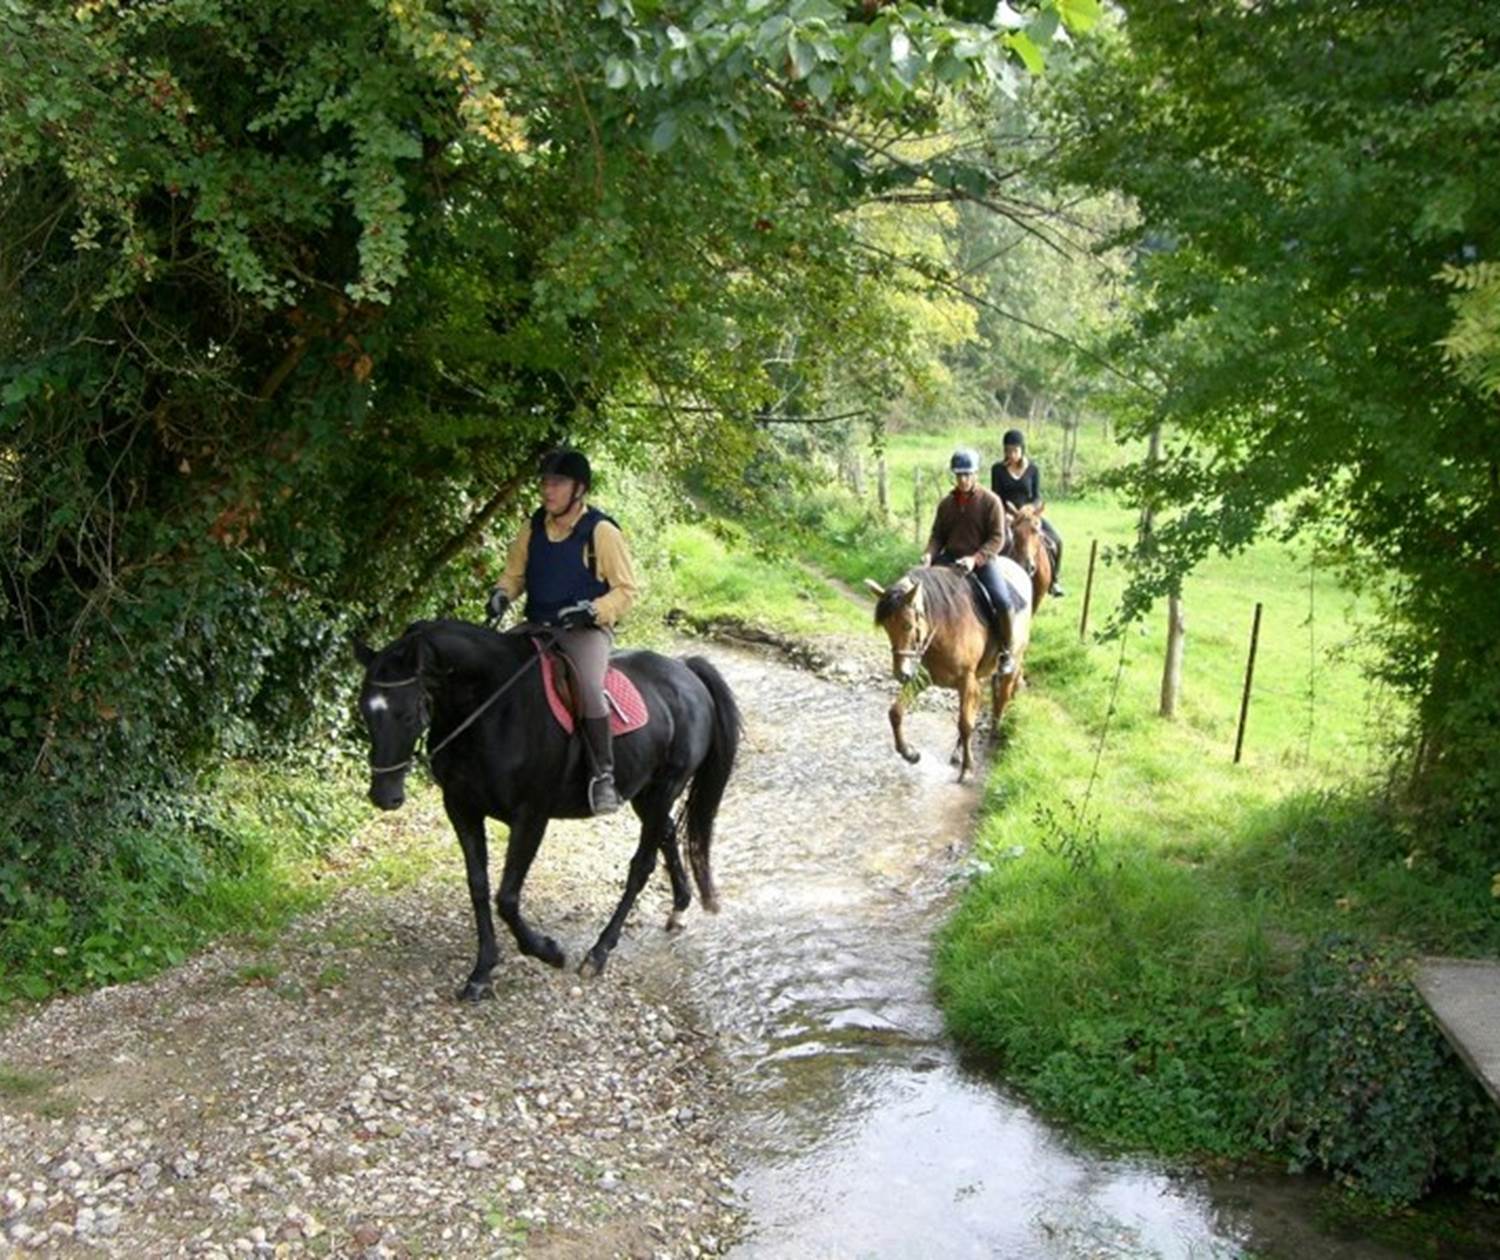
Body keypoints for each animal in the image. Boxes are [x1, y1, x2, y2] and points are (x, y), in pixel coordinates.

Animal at [352, 619, 740, 999]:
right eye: (364, 712)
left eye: (406, 714)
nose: (384, 796)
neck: (491, 706)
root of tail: (685, 671)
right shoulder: (462, 808)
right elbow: (478, 887)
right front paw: (481, 972)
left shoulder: (531, 817)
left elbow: (507, 898)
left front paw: (548, 952)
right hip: (645, 794)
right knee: (668, 834)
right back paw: (679, 908)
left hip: (664, 789)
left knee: (641, 866)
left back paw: (599, 953)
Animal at [863, 558, 1032, 782]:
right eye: (886, 629)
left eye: (908, 626)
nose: (901, 673)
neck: (944, 625)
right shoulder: (924, 678)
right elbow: (895, 712)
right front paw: (909, 753)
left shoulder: (966, 680)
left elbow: (965, 724)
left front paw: (968, 769)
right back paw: (958, 752)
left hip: (1010, 664)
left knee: (1000, 700)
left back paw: (991, 737)